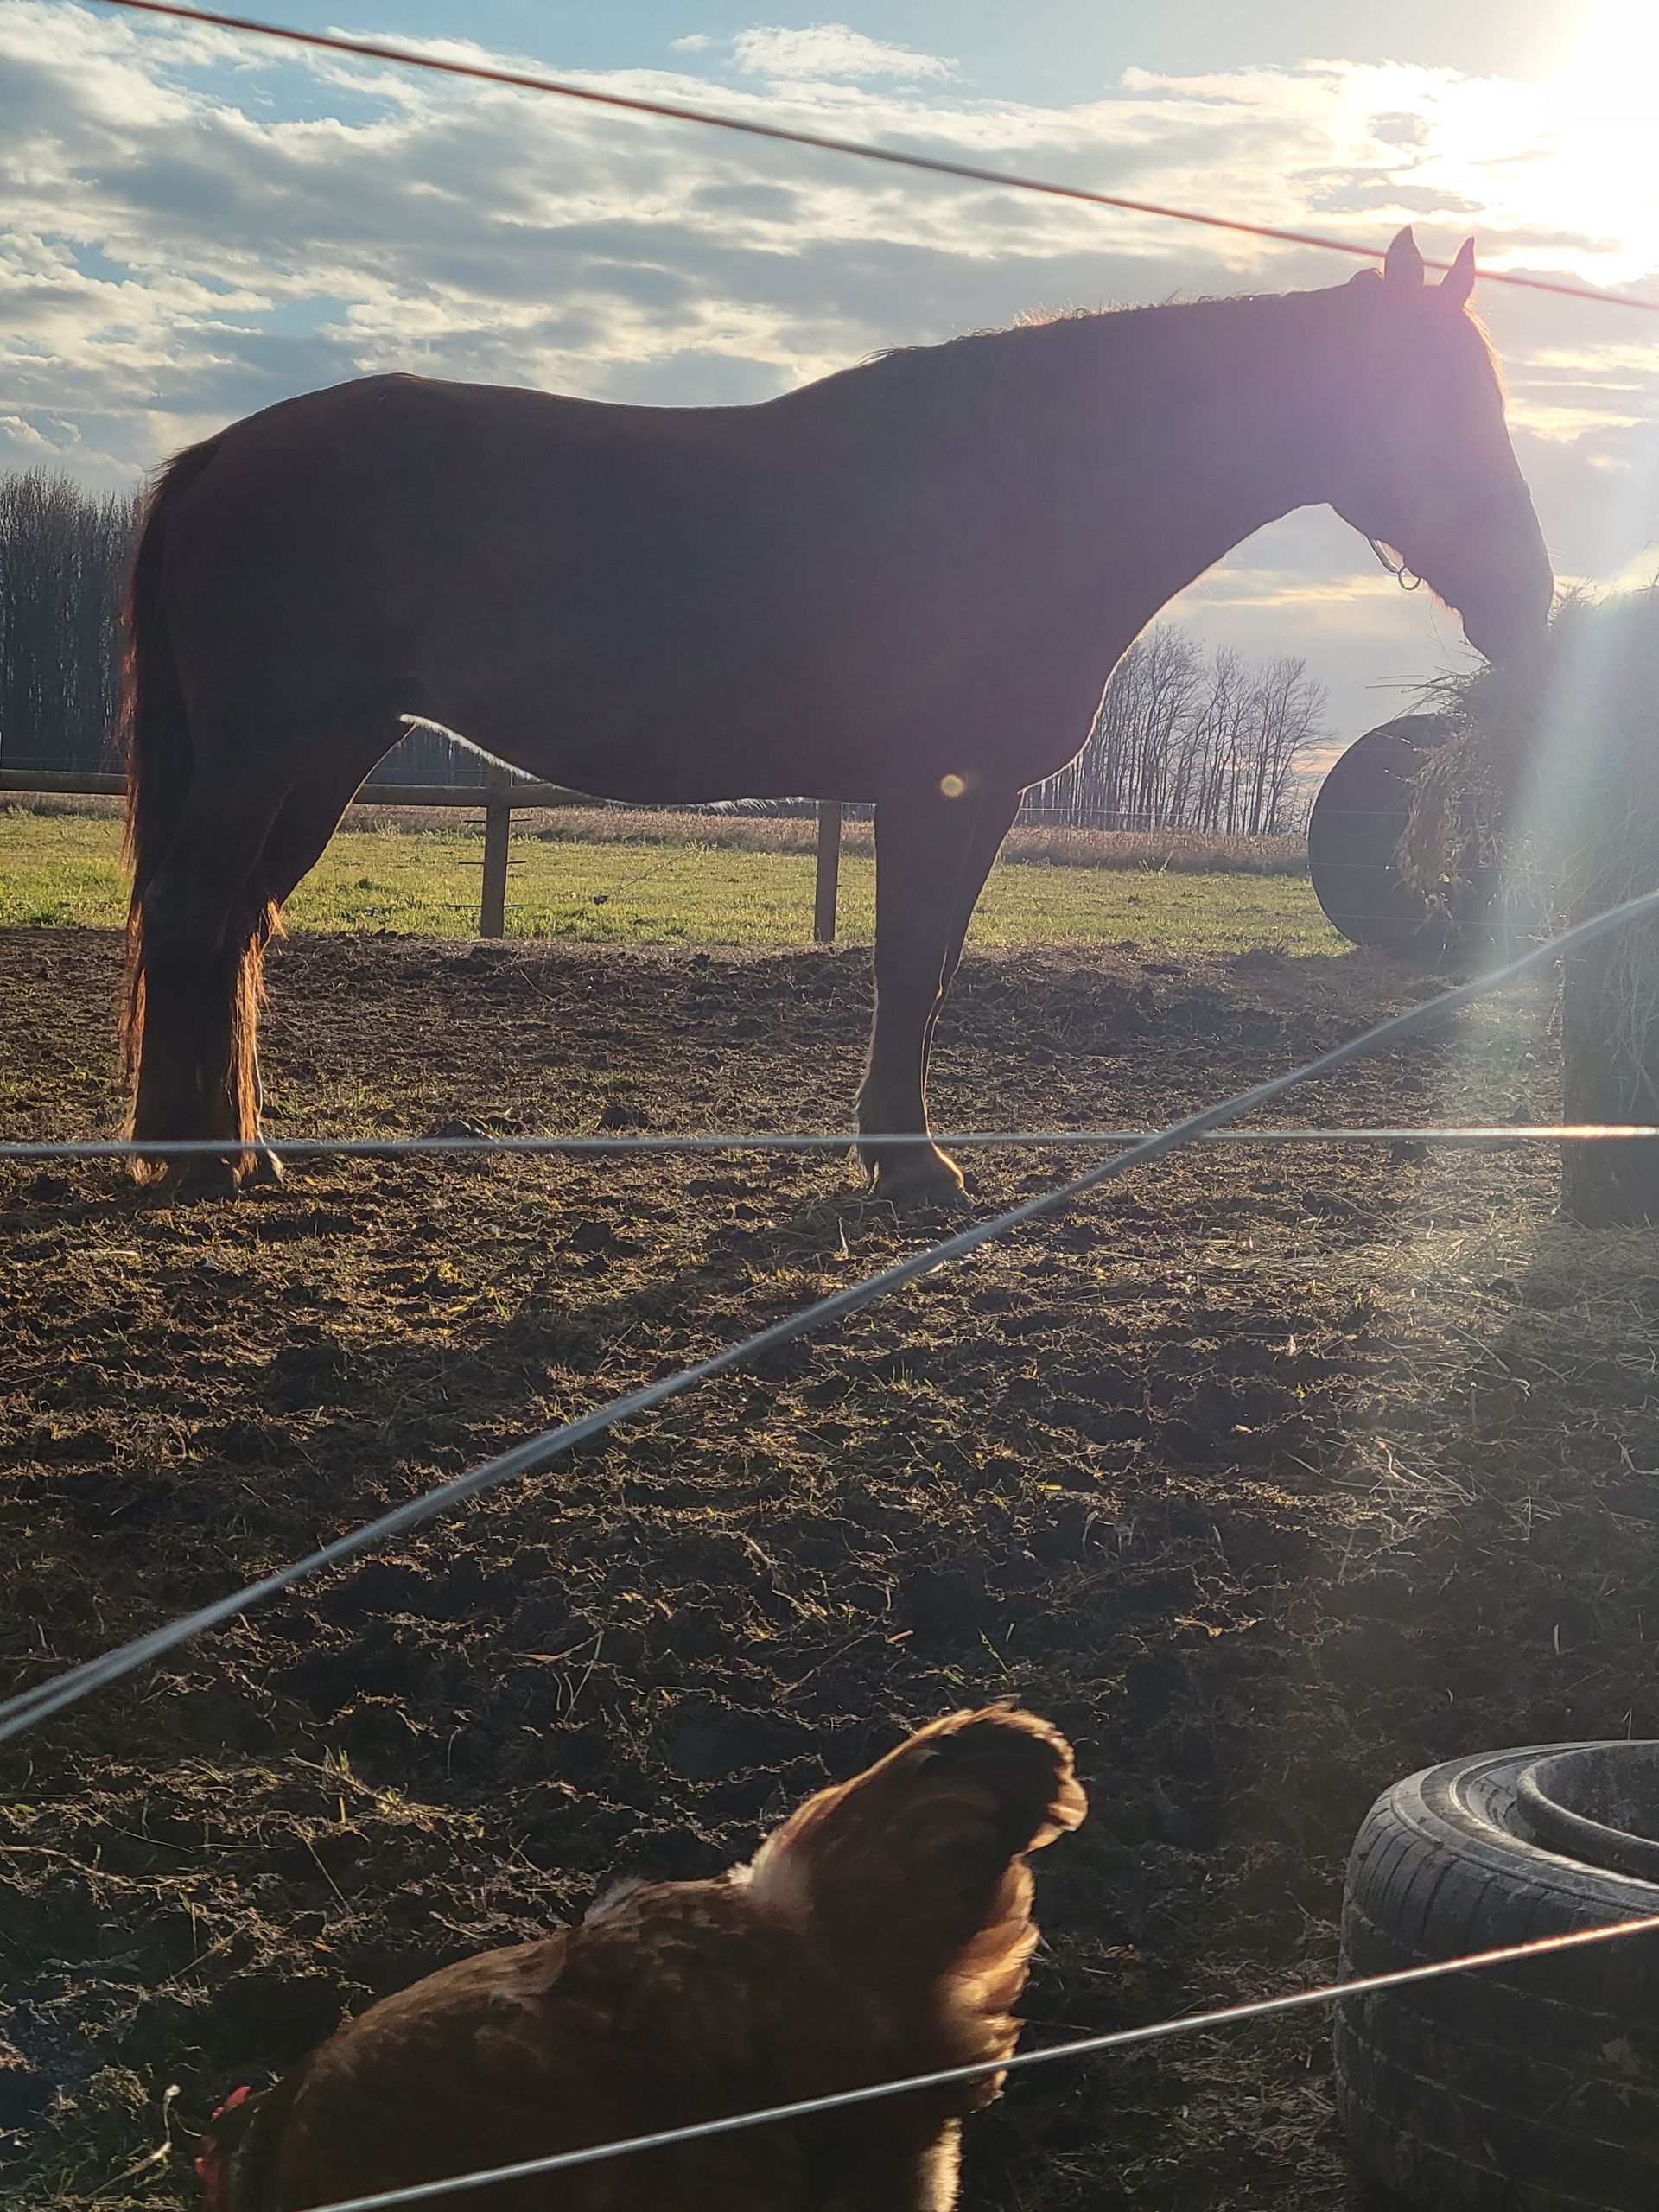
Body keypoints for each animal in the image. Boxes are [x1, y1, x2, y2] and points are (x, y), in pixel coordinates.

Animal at [119, 225, 1550, 1201]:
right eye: (1429, 402)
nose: (1529, 598)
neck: (1021, 494)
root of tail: (221, 454)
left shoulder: (980, 798)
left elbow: (932, 967)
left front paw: (901, 1150)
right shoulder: (937, 788)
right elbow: (905, 962)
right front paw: (910, 1165)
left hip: (330, 752)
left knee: (240, 923)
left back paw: (238, 1150)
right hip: (267, 751)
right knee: (196, 917)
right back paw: (190, 1165)